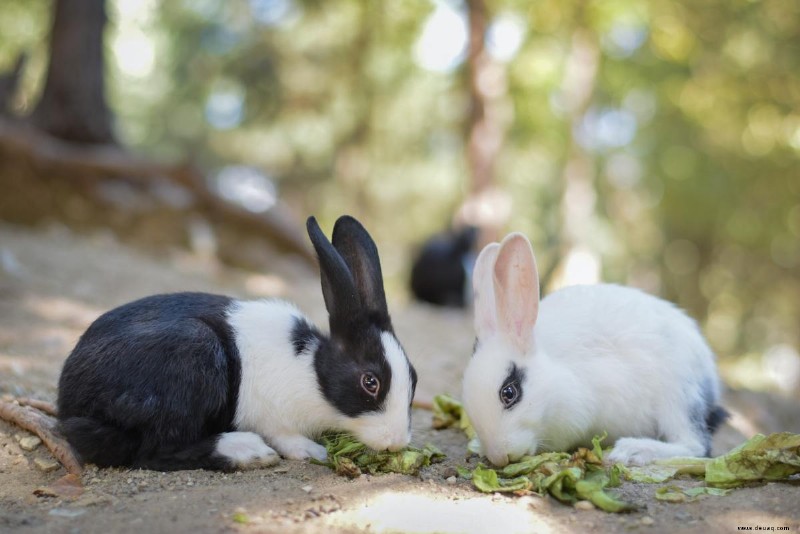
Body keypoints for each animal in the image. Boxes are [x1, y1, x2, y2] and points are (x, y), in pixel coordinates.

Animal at [57, 216, 418, 472]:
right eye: (370, 382)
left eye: (414, 378)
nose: (396, 443)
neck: (311, 372)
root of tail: (68, 403)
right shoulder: (273, 415)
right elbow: (285, 436)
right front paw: (312, 450)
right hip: (193, 354)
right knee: (155, 450)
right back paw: (247, 452)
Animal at [460, 232, 728, 466]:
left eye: (509, 393)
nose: (498, 457)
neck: (554, 373)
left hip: (679, 396)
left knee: (695, 446)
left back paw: (632, 450)